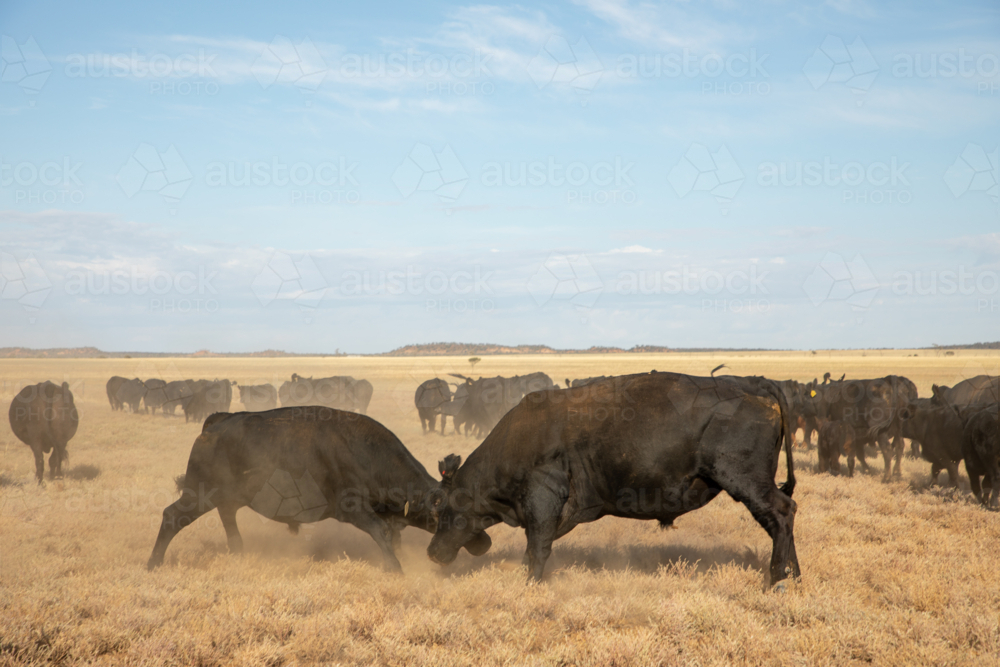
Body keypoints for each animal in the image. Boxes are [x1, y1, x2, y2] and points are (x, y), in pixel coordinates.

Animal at [147, 406, 445, 572]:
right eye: (438, 512)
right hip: (199, 495)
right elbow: (381, 531)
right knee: (172, 517)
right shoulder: (354, 509)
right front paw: (395, 567)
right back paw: (153, 563)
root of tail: (218, 422)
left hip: (225, 497)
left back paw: (239, 553)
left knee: (228, 519)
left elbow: (393, 535)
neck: (365, 452)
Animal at [427, 372, 801, 587]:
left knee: (781, 513)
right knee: (784, 518)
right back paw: (793, 577)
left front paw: (530, 584)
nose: (432, 552)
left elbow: (536, 548)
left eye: (441, 507)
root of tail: (754, 385)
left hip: (746, 482)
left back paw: (775, 580)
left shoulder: (542, 504)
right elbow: (536, 548)